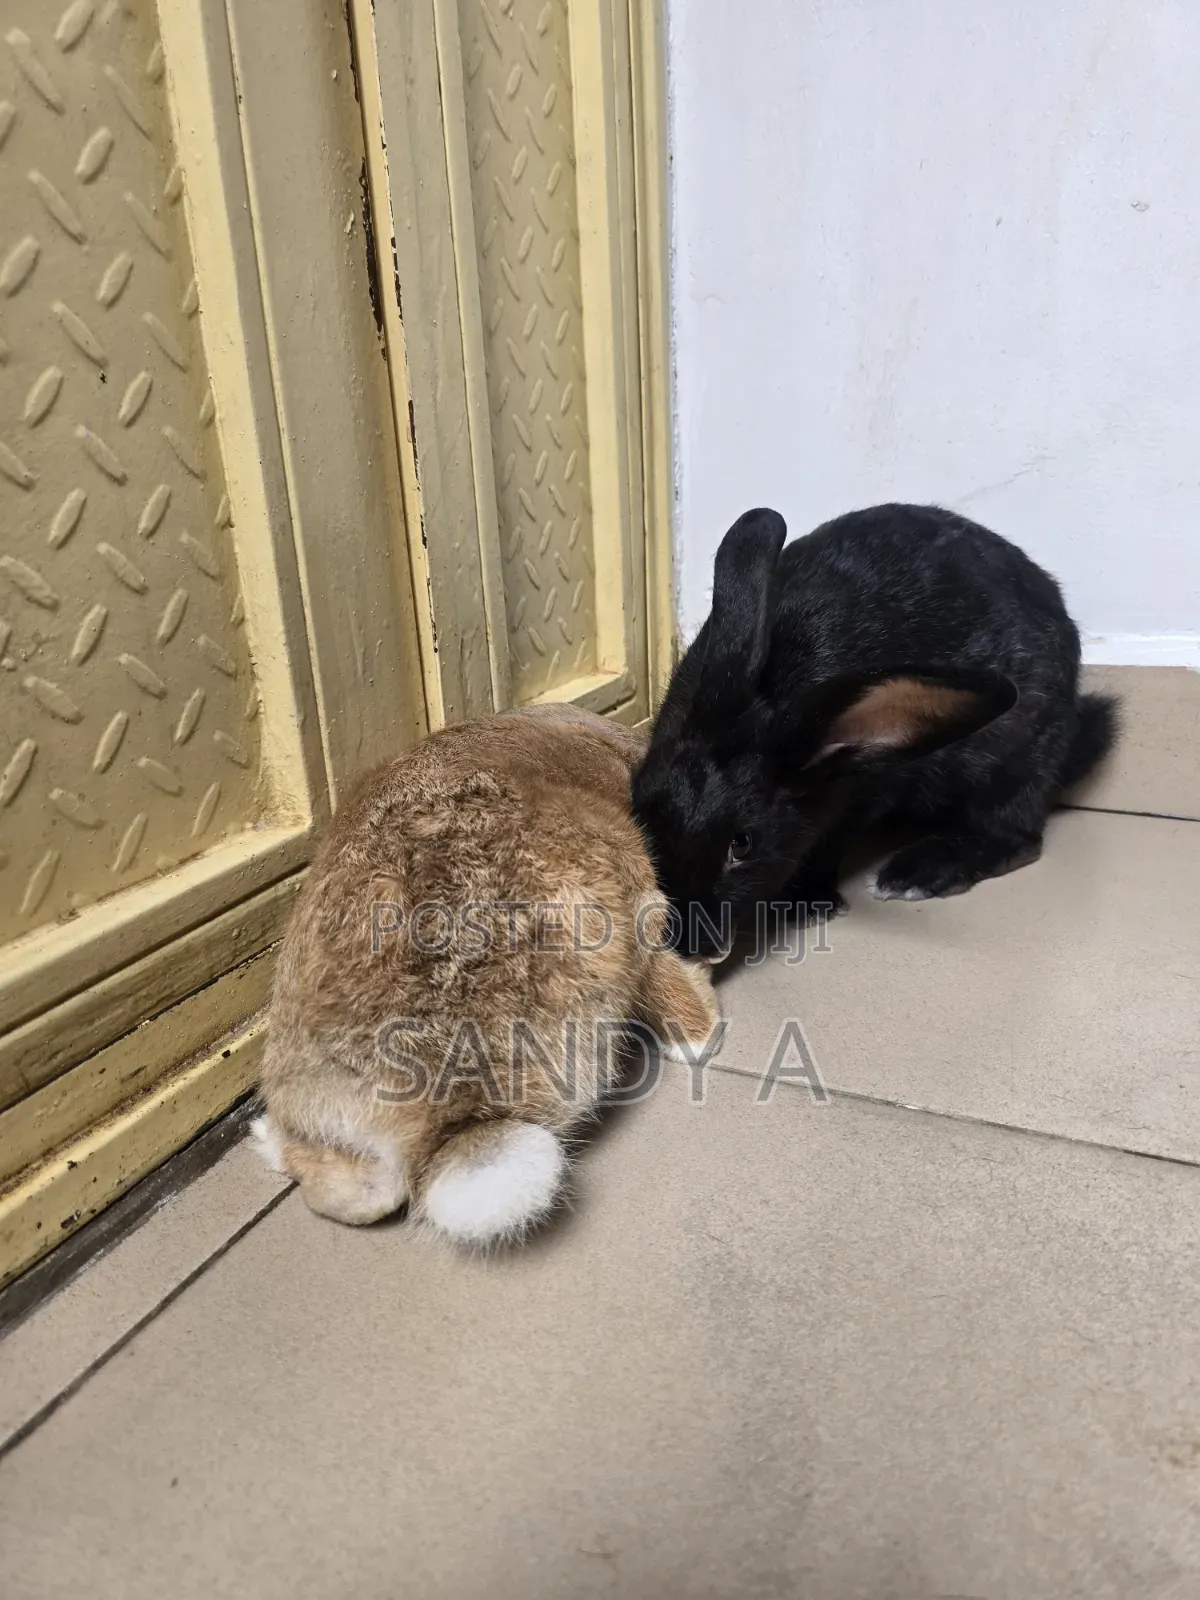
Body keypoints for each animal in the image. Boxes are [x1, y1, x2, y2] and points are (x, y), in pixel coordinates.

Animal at [631, 504, 1118, 958]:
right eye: (644, 808)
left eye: (743, 844)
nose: (687, 944)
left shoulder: (864, 798)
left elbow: (827, 846)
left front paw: (810, 904)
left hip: (1016, 757)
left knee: (1018, 835)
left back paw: (921, 872)